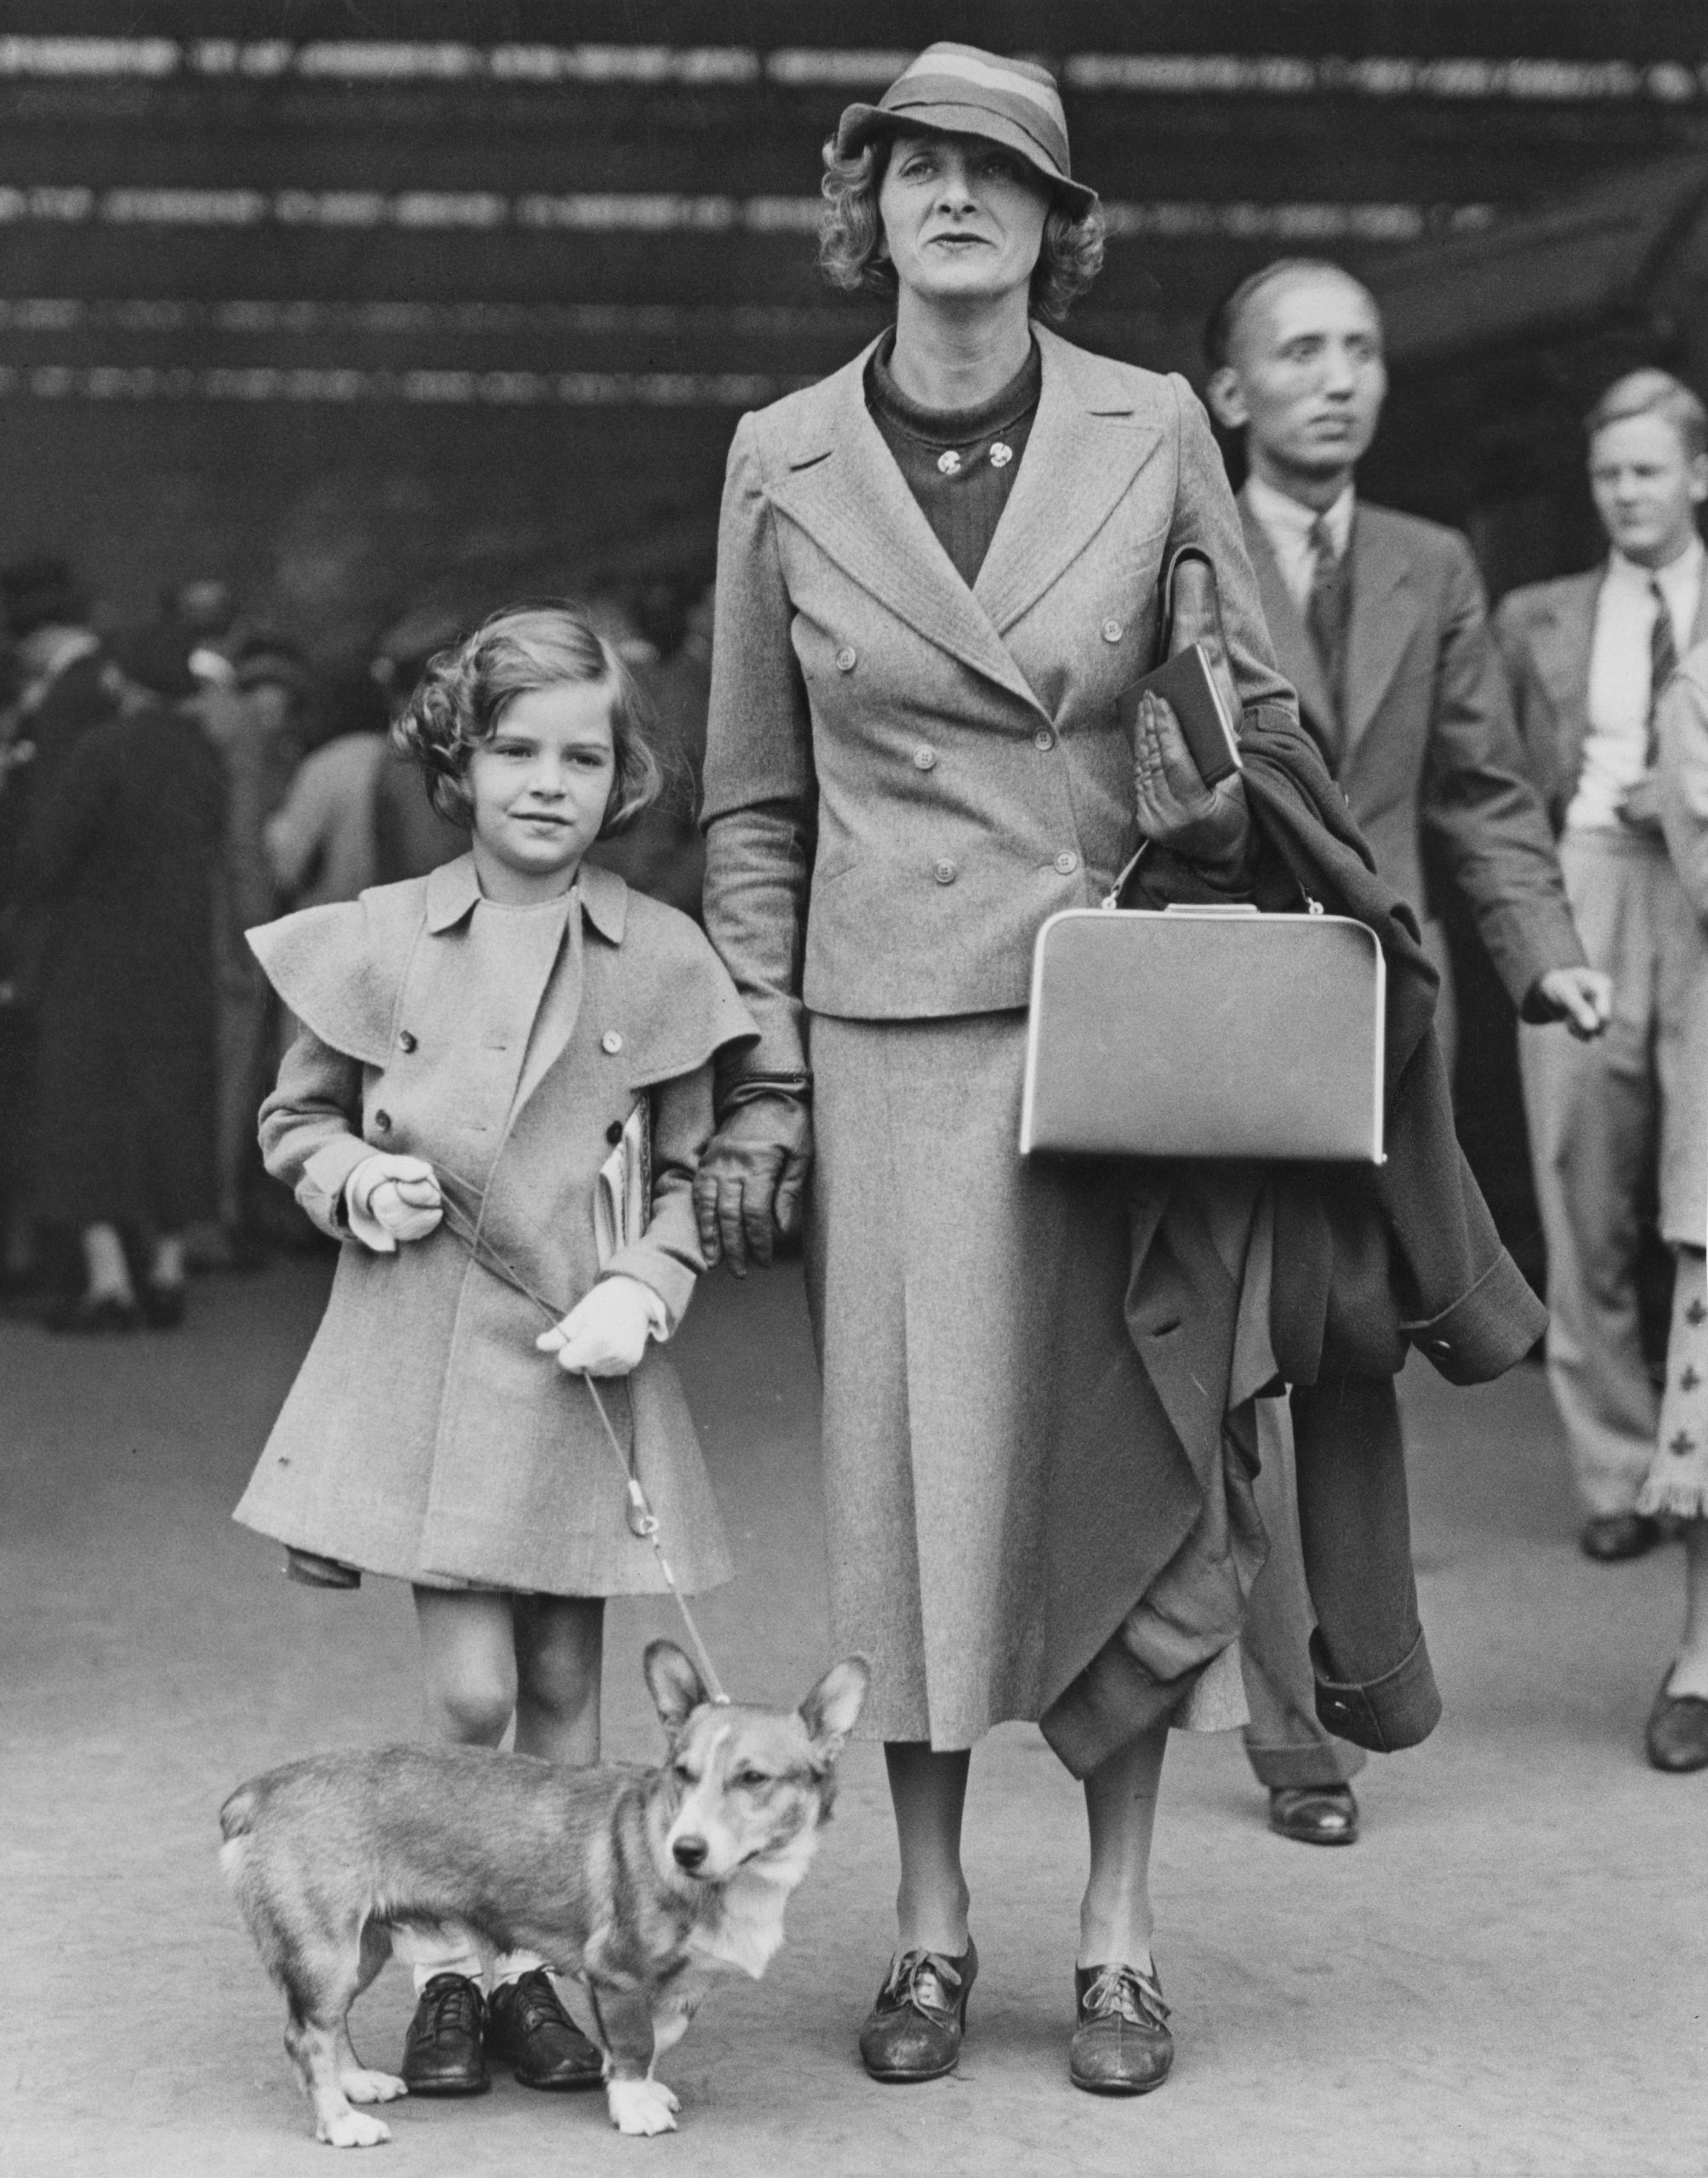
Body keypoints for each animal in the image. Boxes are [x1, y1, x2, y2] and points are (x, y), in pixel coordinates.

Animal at [219, 1646, 867, 2143]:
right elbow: (635, 2042)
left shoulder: (682, 1987)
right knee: (305, 2036)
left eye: (753, 1778)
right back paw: (342, 2123)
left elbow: (660, 2037)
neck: (745, 1878)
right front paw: (635, 2106)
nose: (686, 1850)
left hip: (361, 1949)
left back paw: (357, 2083)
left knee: (331, 2025)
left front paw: (643, 2087)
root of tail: (261, 1791)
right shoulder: (617, 1972)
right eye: (684, 1773)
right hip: (323, 1949)